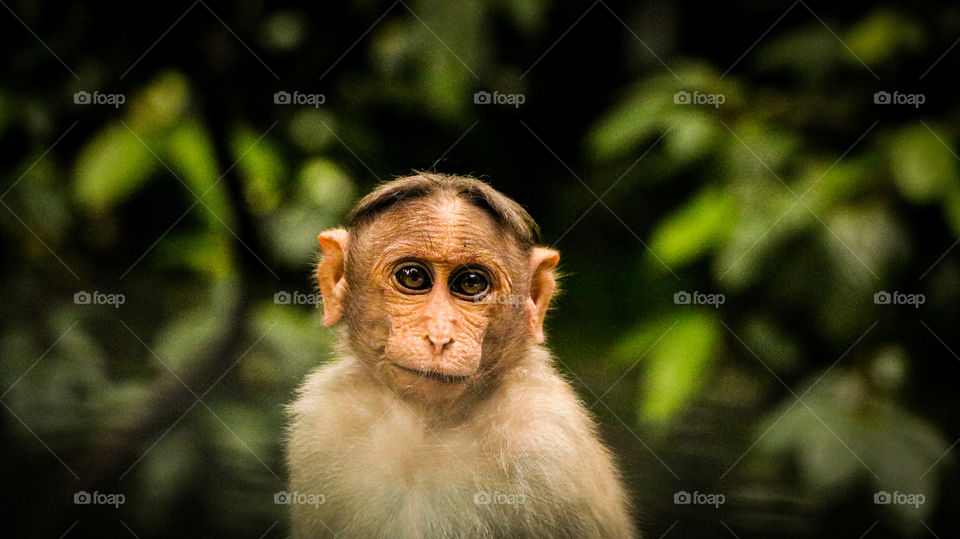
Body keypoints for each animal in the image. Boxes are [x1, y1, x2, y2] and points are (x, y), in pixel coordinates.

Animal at [288, 174, 640, 539]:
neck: (426, 426)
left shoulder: (549, 440)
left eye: (471, 283)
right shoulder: (323, 421)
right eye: (413, 277)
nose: (440, 337)